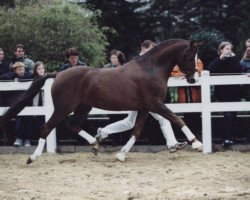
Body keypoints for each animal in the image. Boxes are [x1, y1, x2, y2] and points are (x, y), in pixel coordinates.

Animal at [1, 39, 203, 164]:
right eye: (190, 56)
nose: (193, 79)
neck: (151, 69)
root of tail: (58, 74)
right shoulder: (155, 104)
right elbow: (176, 118)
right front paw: (196, 143)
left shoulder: (145, 108)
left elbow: (137, 131)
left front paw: (121, 155)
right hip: (63, 108)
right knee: (47, 128)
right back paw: (32, 158)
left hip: (84, 107)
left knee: (73, 125)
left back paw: (96, 143)